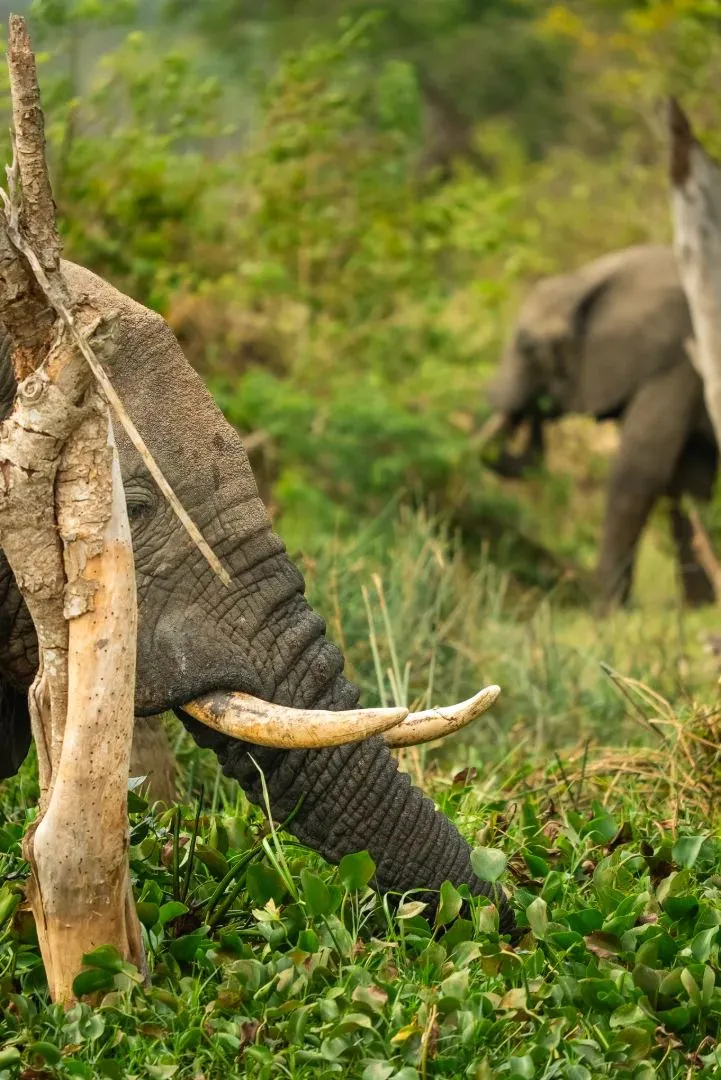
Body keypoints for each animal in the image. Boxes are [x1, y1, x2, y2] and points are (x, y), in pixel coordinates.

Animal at [484, 244, 718, 608]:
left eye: (528, 347)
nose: (537, 411)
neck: (588, 280)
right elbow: (690, 481)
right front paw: (700, 609)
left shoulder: (678, 358)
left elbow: (639, 470)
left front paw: (607, 611)